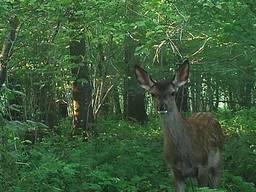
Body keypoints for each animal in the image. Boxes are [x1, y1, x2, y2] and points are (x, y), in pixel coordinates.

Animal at [135, 59, 223, 192]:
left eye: (172, 93)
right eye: (152, 94)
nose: (161, 107)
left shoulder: (203, 164)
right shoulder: (175, 171)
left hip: (217, 162)